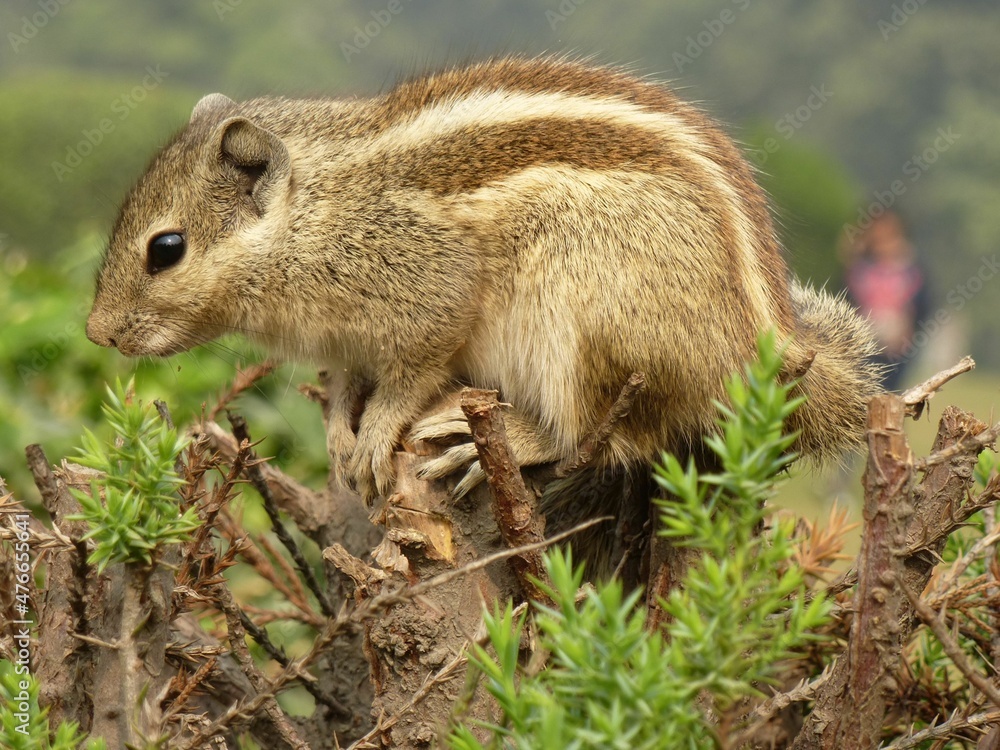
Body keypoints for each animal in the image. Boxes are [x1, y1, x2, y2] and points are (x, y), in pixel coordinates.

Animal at [87, 56, 882, 508]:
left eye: (166, 249)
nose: (98, 332)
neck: (315, 212)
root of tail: (765, 353)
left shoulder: (432, 290)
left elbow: (413, 373)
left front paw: (376, 434)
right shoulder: (349, 341)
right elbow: (345, 382)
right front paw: (342, 434)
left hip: (589, 329)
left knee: (608, 437)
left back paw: (500, 442)